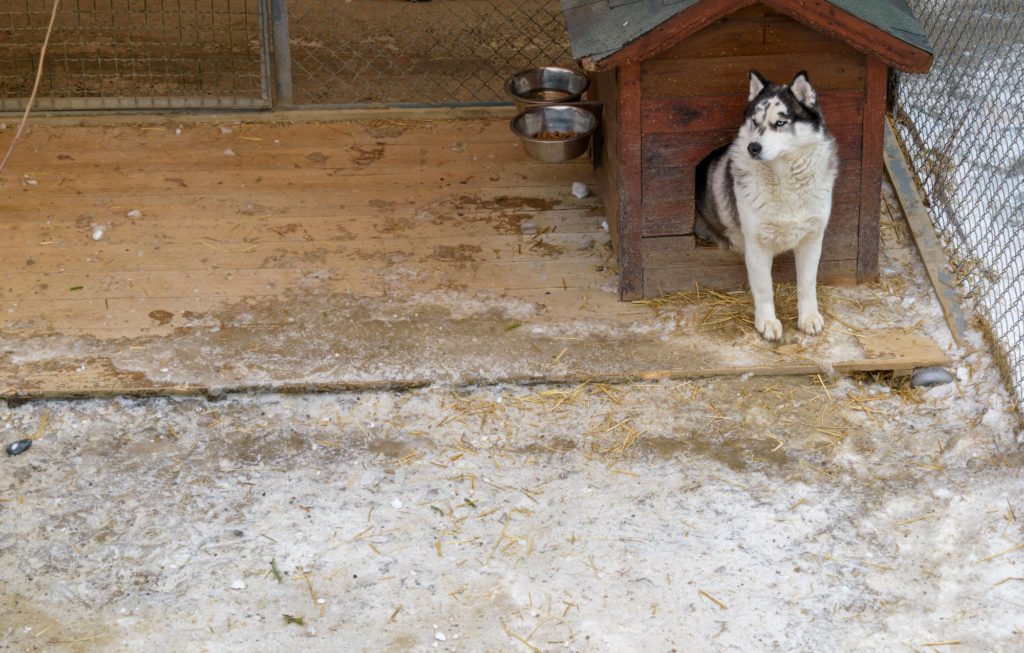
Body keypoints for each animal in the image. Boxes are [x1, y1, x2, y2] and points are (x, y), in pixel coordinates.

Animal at [696, 70, 839, 343]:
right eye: (754, 121)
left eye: (780, 123)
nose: (753, 147)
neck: (784, 181)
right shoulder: (756, 245)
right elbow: (764, 288)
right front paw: (767, 321)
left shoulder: (812, 239)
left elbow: (807, 283)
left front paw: (808, 316)